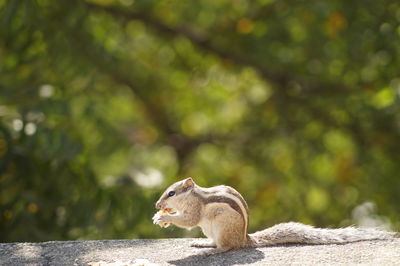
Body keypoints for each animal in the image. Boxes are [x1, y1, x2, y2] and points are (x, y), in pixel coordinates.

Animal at [152, 177, 396, 254]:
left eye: (171, 193)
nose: (157, 204)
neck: (194, 195)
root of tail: (245, 239)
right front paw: (160, 216)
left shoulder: (195, 209)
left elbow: (188, 220)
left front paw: (164, 218)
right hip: (210, 230)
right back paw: (204, 245)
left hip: (222, 229)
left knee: (228, 247)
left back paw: (212, 251)